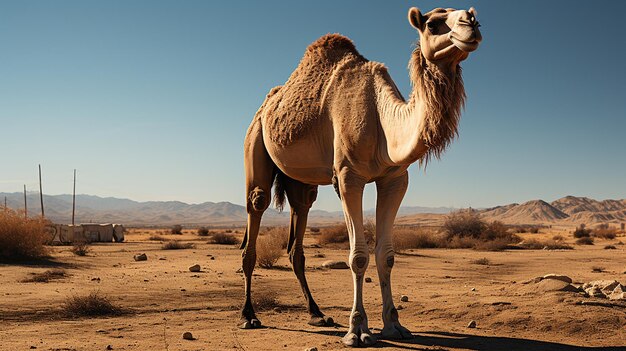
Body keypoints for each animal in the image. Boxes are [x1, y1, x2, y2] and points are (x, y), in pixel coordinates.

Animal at [238, 6, 478, 348]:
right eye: (433, 24)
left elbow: (386, 255)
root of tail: (265, 106)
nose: (472, 25)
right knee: (255, 211)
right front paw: (358, 330)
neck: (382, 121)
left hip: (302, 183)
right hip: (255, 141)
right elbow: (358, 256)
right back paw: (249, 315)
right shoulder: (348, 177)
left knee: (300, 224)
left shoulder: (395, 179)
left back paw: (317, 314)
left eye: (473, 15)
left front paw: (394, 326)